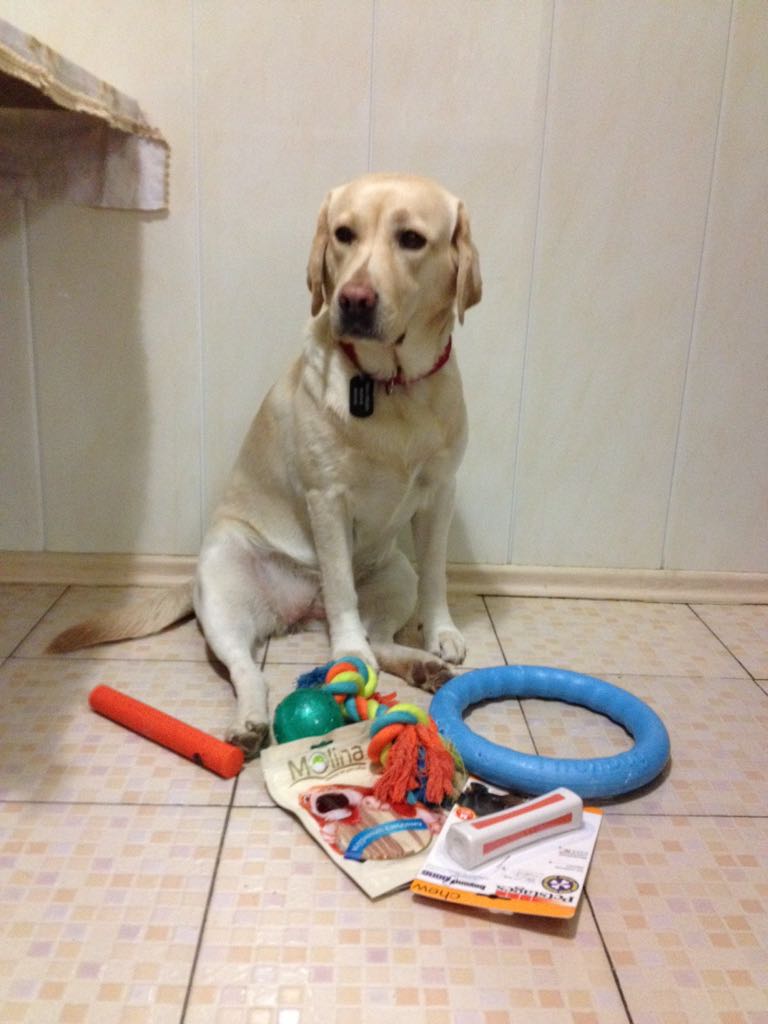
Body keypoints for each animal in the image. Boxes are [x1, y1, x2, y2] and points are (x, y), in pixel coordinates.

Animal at [49, 173, 482, 758]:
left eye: (412, 239)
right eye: (344, 234)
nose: (352, 300)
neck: (390, 387)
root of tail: (303, 611)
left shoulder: (440, 493)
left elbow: (437, 572)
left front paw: (441, 634)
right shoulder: (328, 499)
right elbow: (341, 588)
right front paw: (350, 656)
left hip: (396, 573)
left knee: (382, 636)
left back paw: (420, 665)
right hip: (224, 586)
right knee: (249, 669)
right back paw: (254, 720)